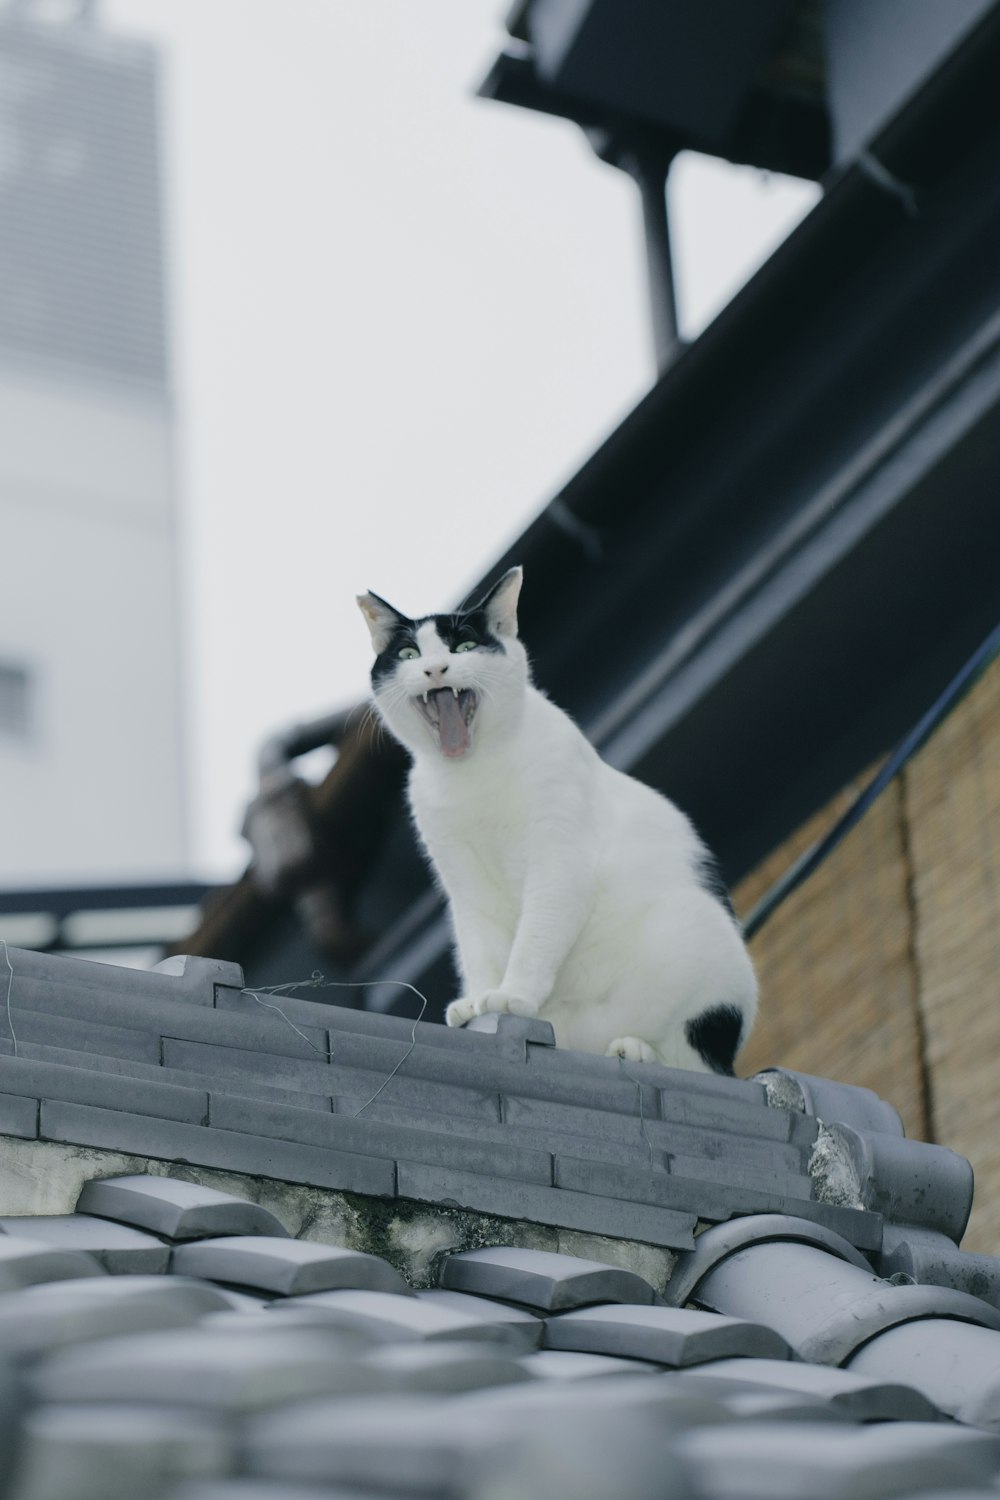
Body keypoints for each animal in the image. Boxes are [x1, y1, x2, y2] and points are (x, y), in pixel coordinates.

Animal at [359, 567, 758, 1074]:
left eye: (463, 646)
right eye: (410, 655)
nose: (435, 670)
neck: (474, 775)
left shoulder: (558, 859)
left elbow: (536, 936)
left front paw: (511, 996)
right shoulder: (463, 884)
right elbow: (478, 948)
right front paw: (478, 999)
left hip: (699, 946)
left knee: (692, 1057)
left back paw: (637, 1050)